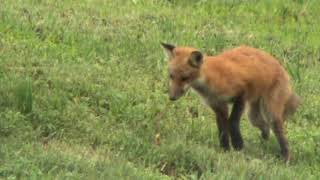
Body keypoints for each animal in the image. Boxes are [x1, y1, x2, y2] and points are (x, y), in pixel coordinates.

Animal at [162, 43, 300, 162]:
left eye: (184, 78)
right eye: (171, 76)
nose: (171, 97)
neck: (211, 79)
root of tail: (283, 69)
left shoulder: (241, 94)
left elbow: (232, 122)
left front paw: (238, 144)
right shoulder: (218, 106)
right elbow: (222, 130)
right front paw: (225, 150)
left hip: (271, 114)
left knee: (280, 134)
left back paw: (286, 158)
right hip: (253, 116)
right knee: (265, 128)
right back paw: (263, 144)